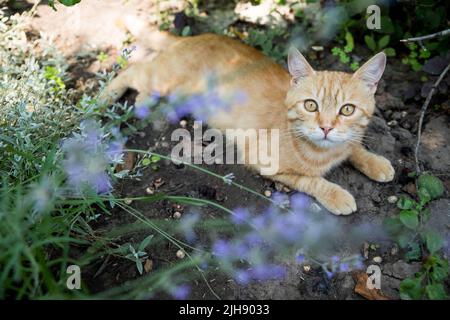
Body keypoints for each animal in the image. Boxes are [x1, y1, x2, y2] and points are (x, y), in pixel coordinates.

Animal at [101, 29, 394, 215]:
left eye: (347, 110)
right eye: (311, 105)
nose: (326, 127)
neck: (325, 152)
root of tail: (199, 36)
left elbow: (354, 147)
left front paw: (375, 162)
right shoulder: (264, 162)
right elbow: (311, 180)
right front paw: (336, 194)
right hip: (164, 80)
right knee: (131, 69)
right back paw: (105, 99)